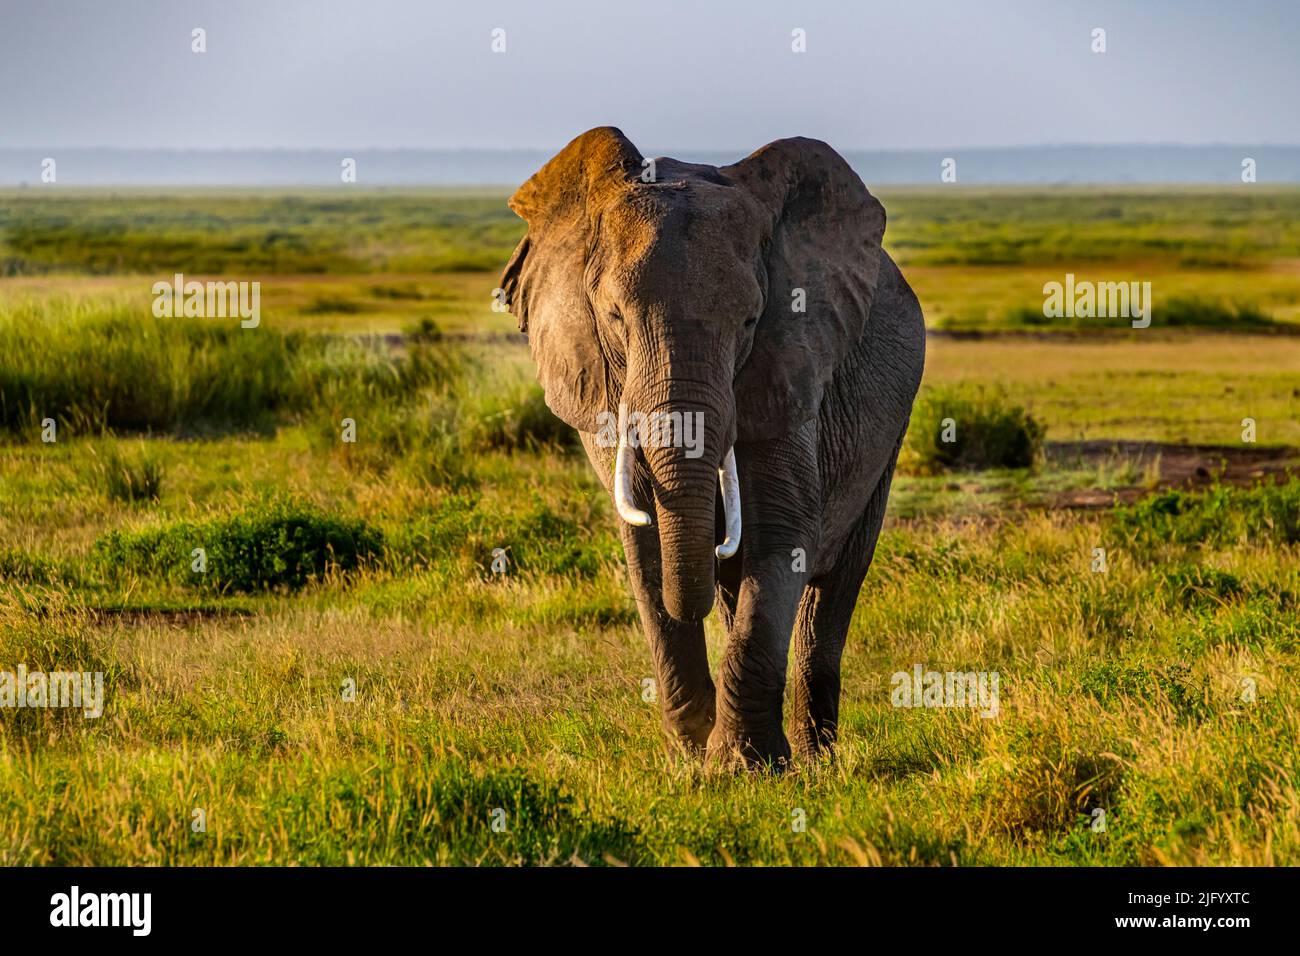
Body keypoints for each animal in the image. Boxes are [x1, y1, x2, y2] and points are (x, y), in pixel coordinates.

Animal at [496, 127, 925, 770]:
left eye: (749, 322)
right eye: (614, 317)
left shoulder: (789, 364)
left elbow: (783, 530)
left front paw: (745, 766)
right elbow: (646, 542)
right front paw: (693, 752)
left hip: (890, 432)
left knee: (832, 589)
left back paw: (816, 758)